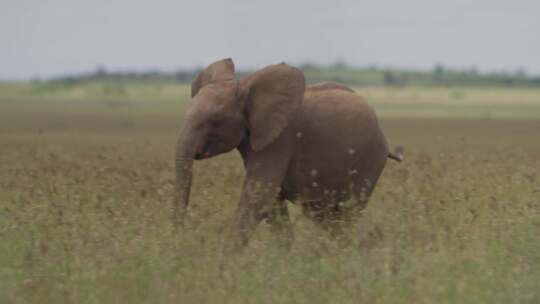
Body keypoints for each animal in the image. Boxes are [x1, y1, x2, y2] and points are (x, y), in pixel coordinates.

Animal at [174, 58, 400, 247]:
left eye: (215, 120)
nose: (180, 239)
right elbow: (272, 202)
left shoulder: (281, 140)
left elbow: (259, 196)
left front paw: (222, 261)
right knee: (327, 216)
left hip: (370, 160)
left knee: (348, 211)